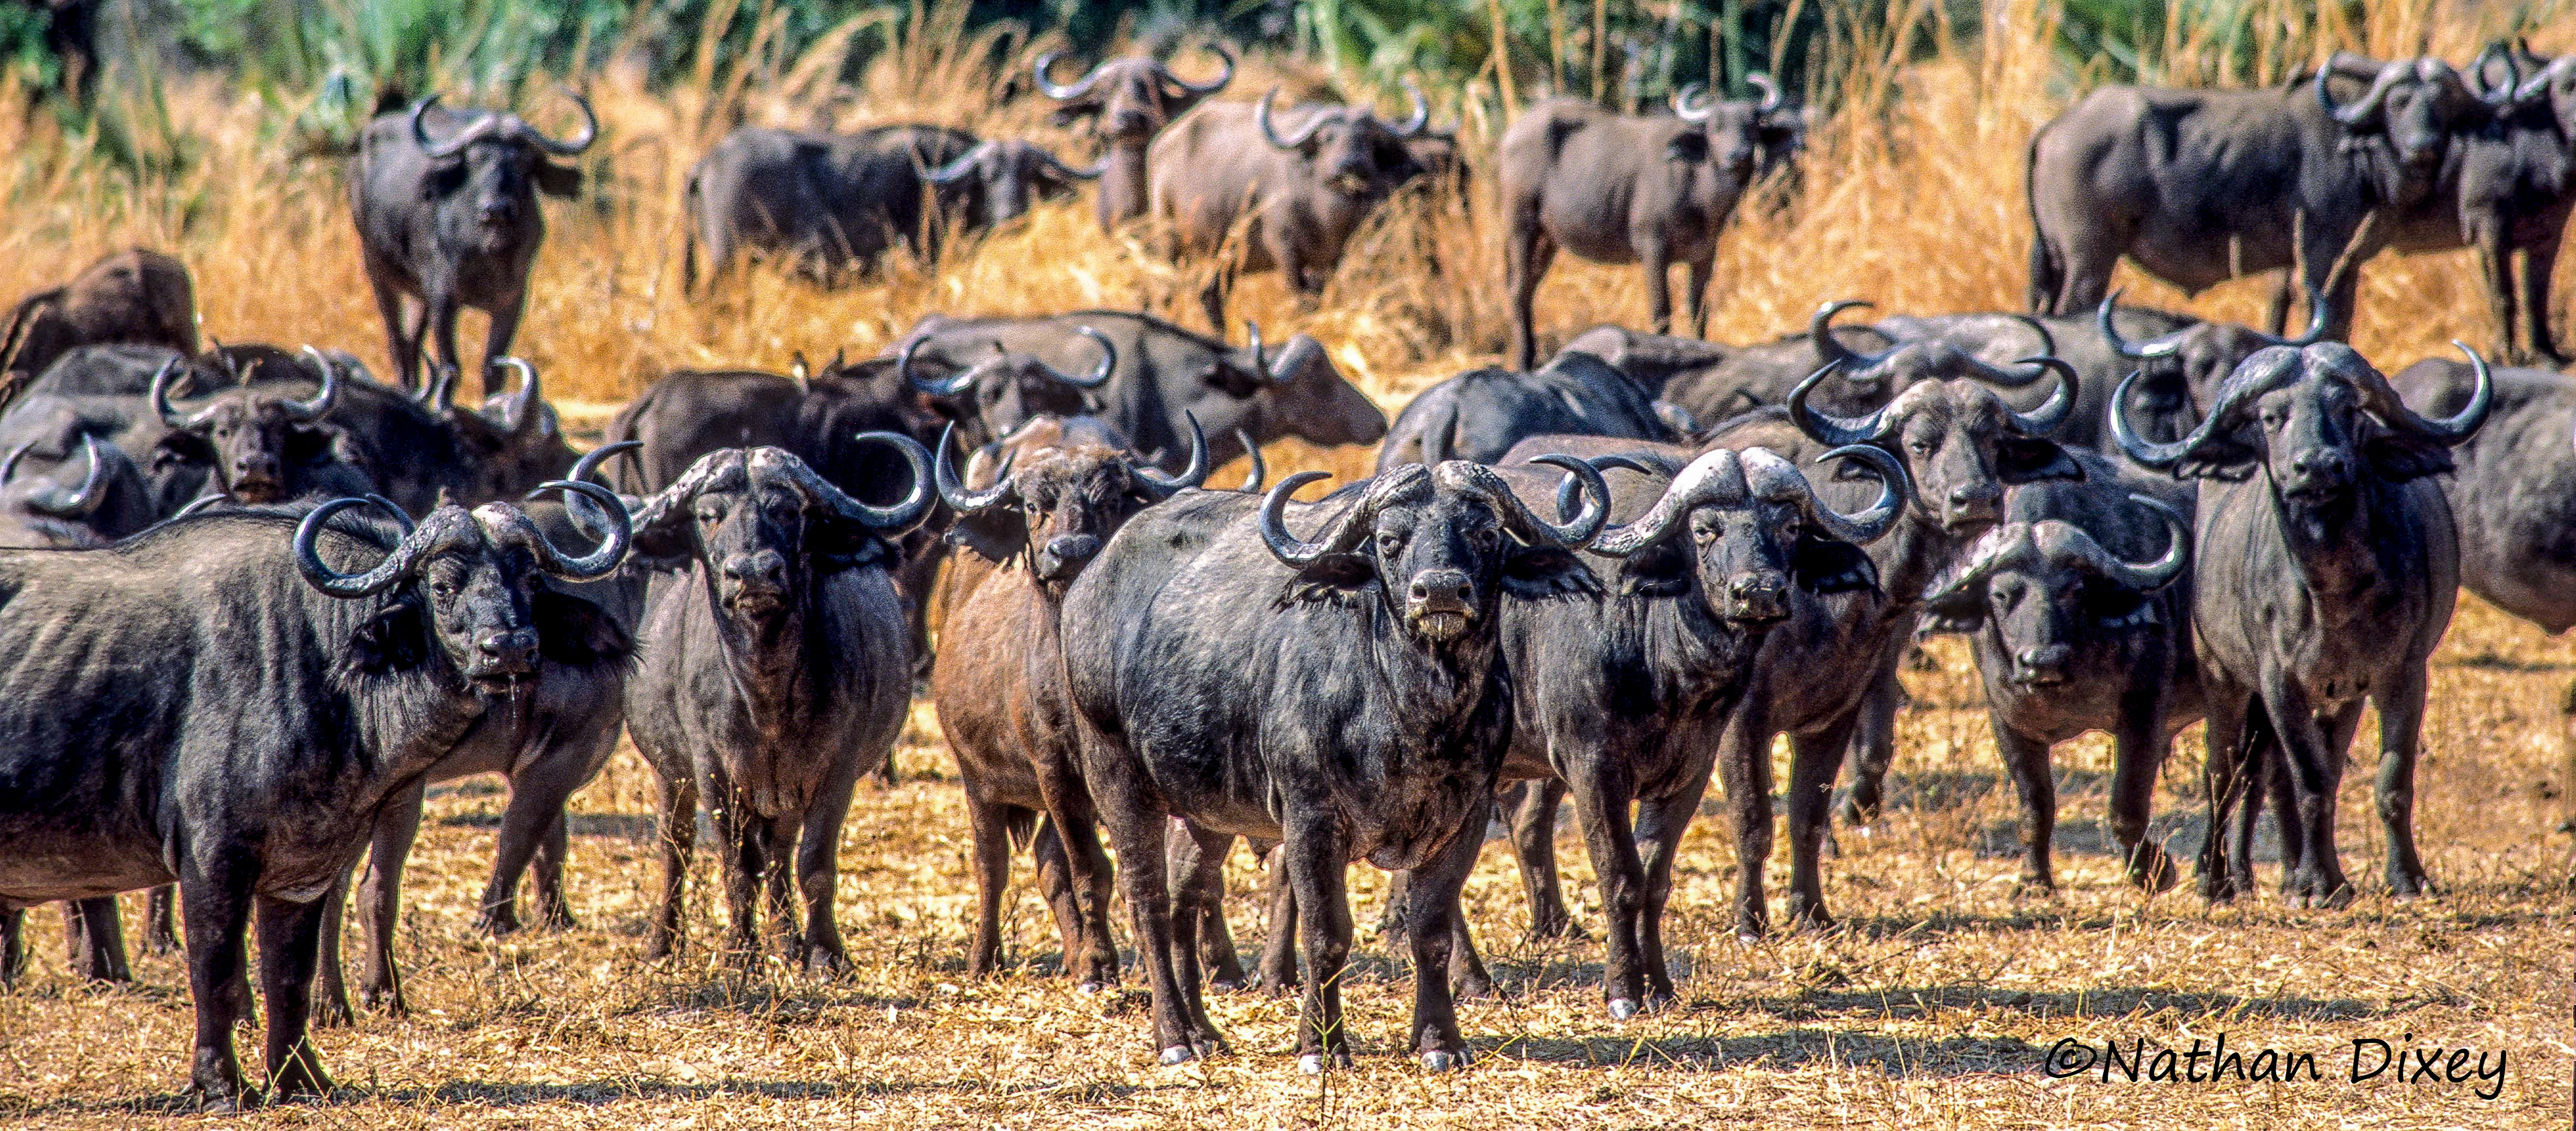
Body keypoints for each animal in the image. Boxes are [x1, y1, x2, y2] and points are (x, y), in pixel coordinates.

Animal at [351, 86, 597, 393]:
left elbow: (493, 369)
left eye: (524, 163)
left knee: (411, 342)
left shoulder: (512, 301)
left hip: (417, 294)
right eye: (475, 161)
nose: (496, 209)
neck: (487, 251)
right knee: (396, 342)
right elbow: (450, 368)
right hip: (377, 270)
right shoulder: (442, 298)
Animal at [2113, 342, 2490, 905]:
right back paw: (2219, 878)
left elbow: (2388, 781)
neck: (2334, 592)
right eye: (2272, 417)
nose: (2316, 467)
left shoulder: (2400, 673)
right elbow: (2306, 780)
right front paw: (2318, 885)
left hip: (2338, 696)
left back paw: (2276, 869)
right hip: (2220, 673)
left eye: (2349, 409)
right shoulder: (2278, 682)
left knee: (2273, 771)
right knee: (2225, 772)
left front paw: (2403, 878)